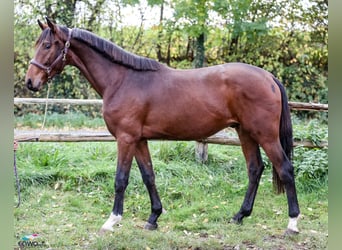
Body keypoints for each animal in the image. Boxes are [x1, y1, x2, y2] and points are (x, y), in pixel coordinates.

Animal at [24, 17, 300, 234]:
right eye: (36, 44)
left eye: (47, 45)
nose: (30, 82)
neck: (122, 80)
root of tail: (269, 77)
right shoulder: (139, 139)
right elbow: (149, 176)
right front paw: (154, 217)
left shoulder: (126, 138)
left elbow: (121, 179)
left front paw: (112, 220)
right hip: (245, 132)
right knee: (255, 169)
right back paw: (240, 215)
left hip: (265, 135)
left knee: (285, 168)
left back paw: (292, 223)